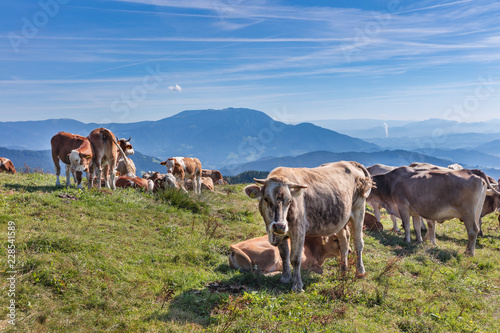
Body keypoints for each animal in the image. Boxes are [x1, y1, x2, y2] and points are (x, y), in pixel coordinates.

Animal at [244, 161, 374, 290]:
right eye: (266, 199)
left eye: (289, 201)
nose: (279, 226)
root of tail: (349, 163)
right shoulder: (280, 234)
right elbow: (284, 255)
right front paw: (285, 278)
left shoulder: (299, 230)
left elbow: (295, 259)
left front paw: (297, 285)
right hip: (340, 219)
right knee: (344, 241)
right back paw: (343, 271)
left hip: (359, 209)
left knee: (358, 243)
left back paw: (360, 272)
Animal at [370, 166, 500, 254]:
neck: (390, 183)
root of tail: (478, 176)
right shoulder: (414, 211)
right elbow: (416, 226)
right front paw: (419, 240)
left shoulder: (403, 207)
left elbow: (407, 225)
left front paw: (407, 240)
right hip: (477, 213)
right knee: (477, 229)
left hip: (468, 213)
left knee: (472, 231)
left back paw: (469, 252)